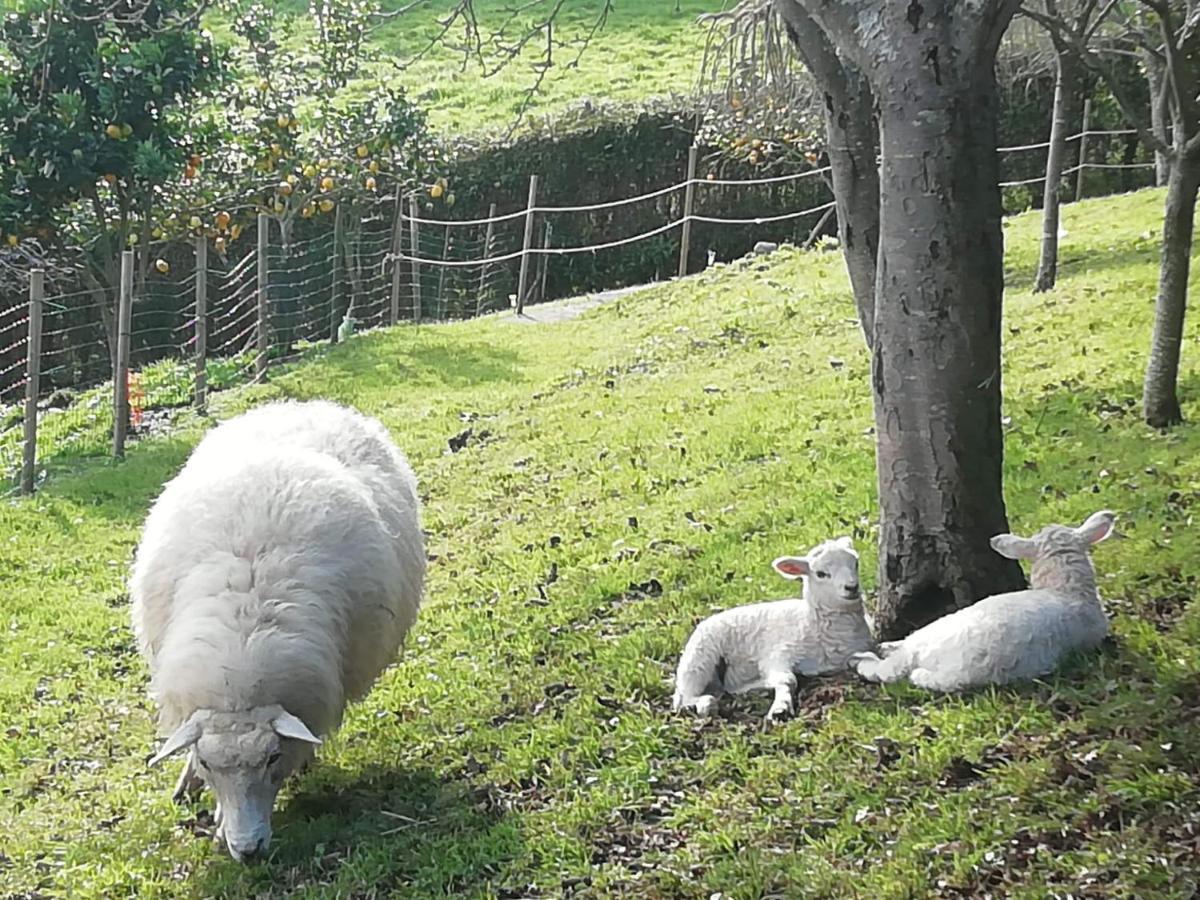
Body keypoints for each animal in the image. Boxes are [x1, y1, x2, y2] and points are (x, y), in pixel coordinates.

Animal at [672, 540, 878, 724]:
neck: (812, 624)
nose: (852, 587)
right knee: (683, 697)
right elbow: (789, 680)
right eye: (821, 574)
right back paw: (705, 704)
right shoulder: (779, 653)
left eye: (856, 563)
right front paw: (781, 708)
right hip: (699, 658)